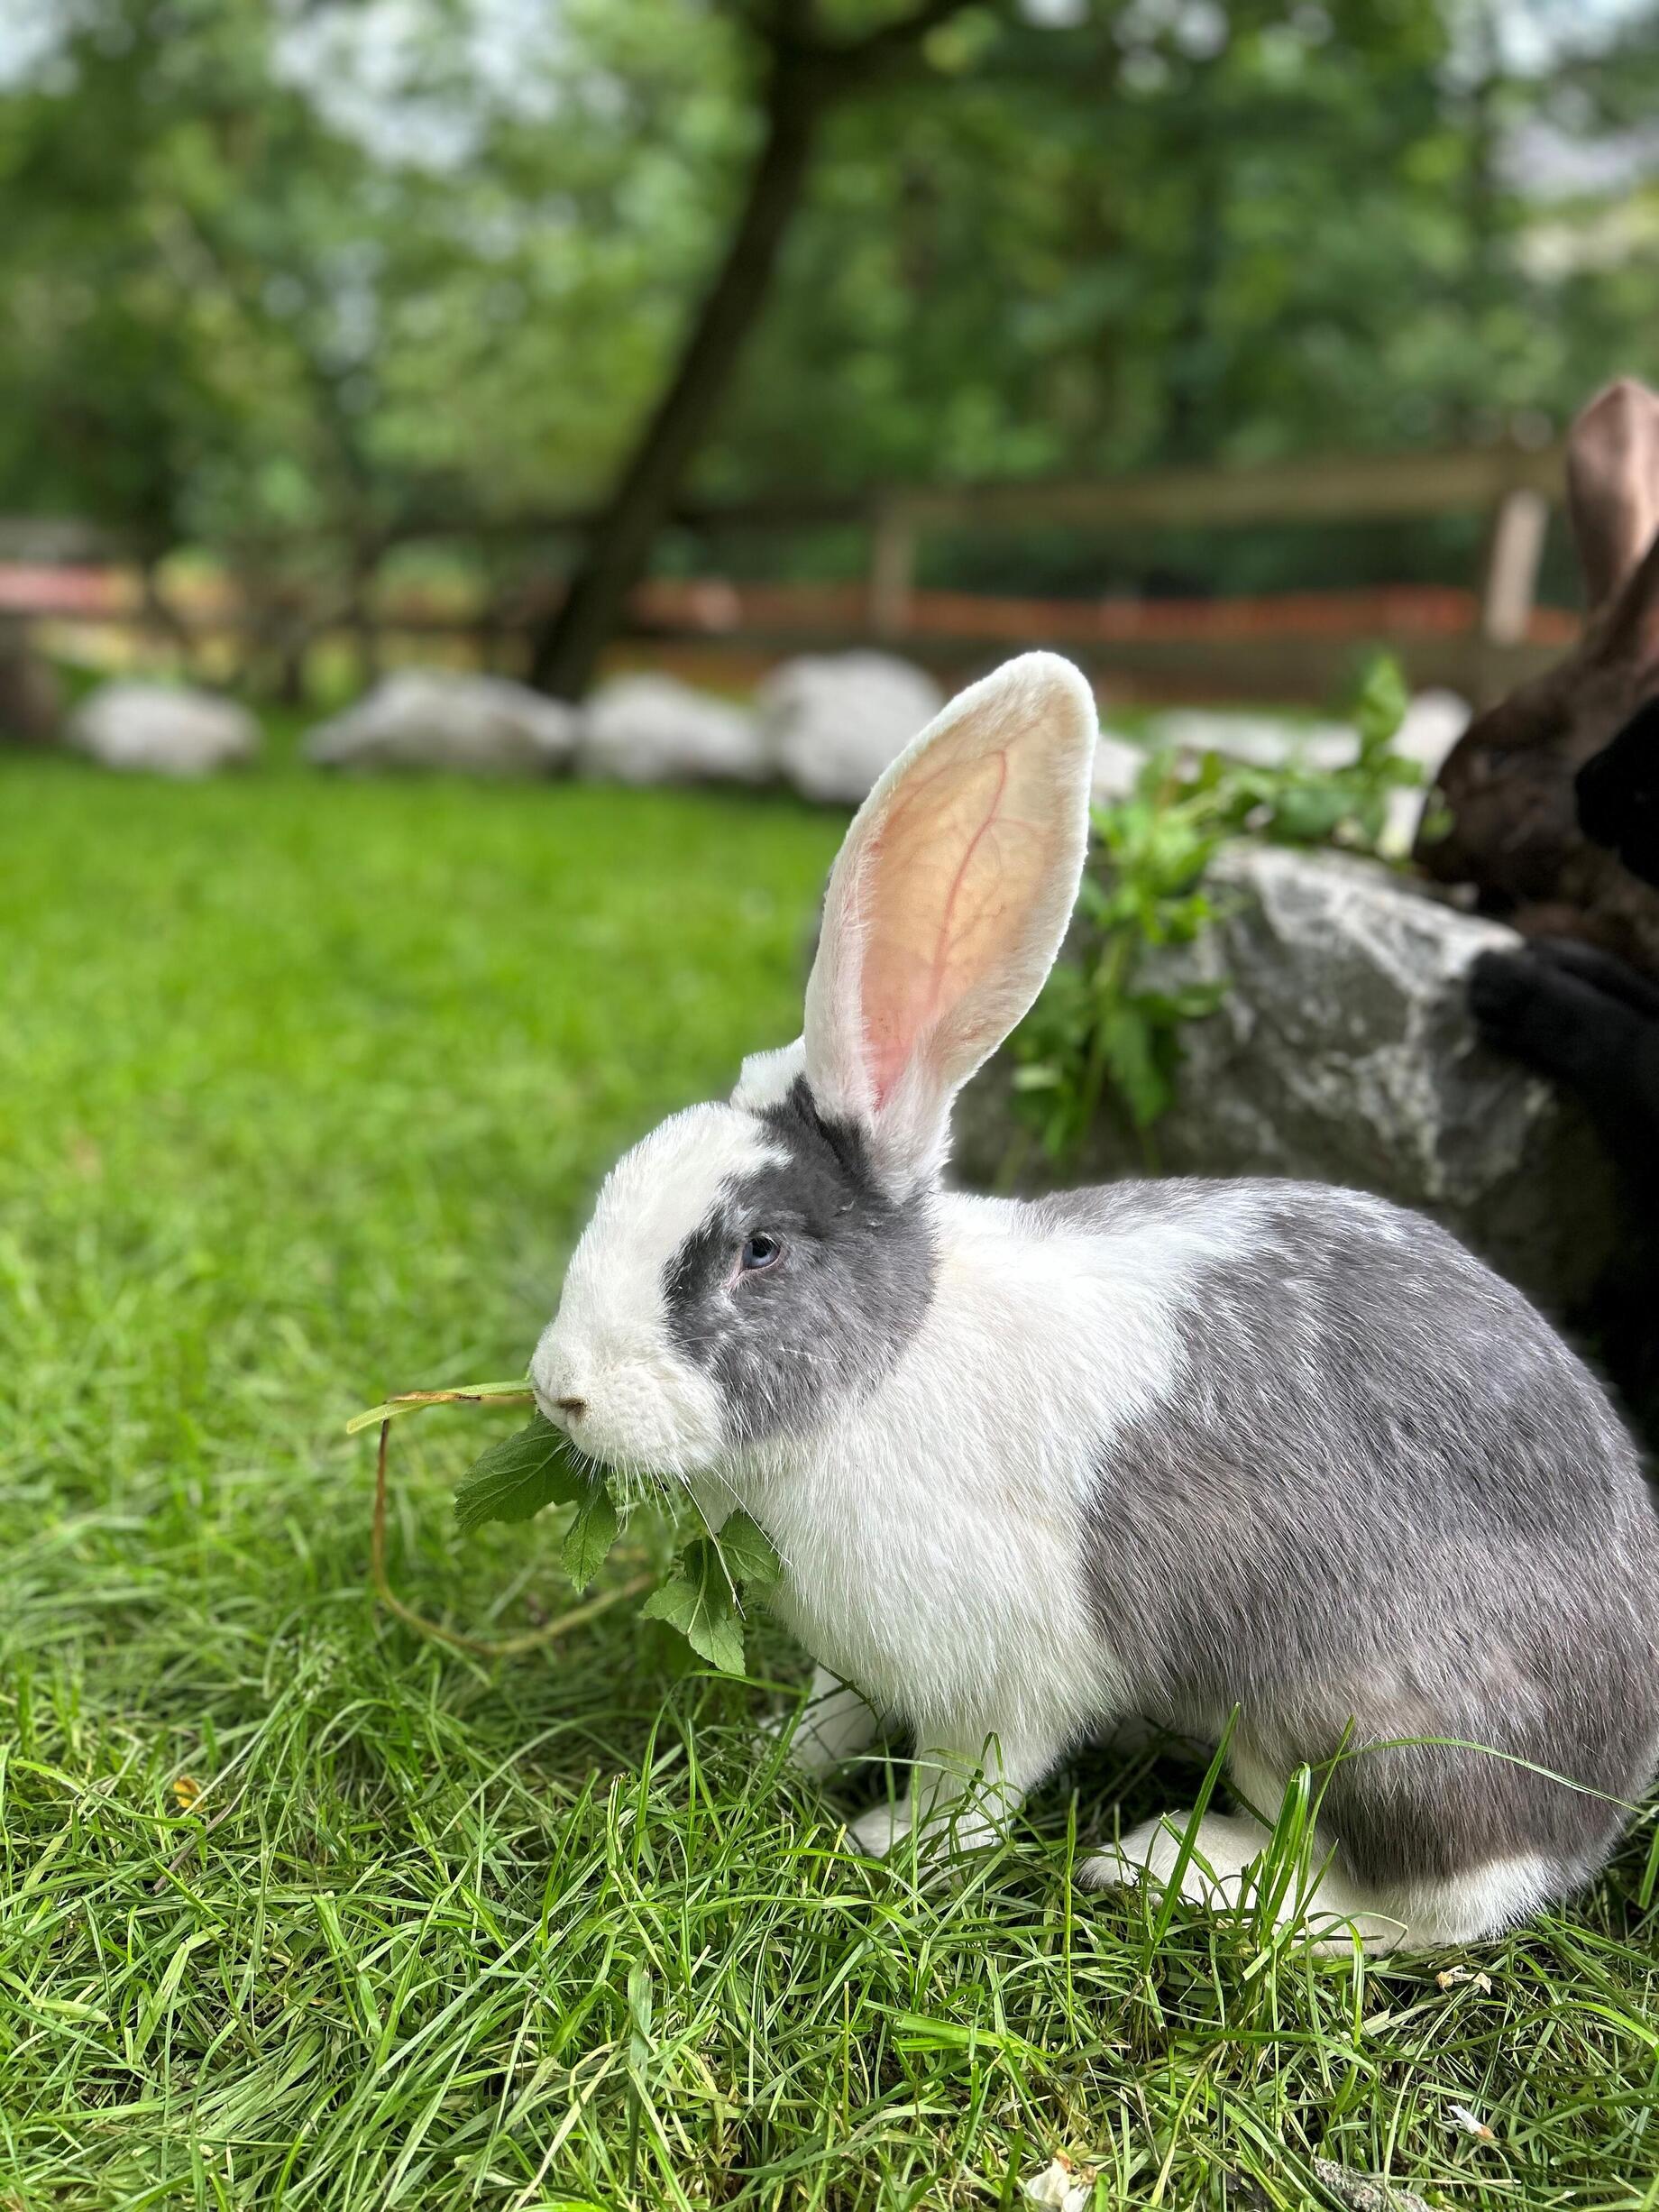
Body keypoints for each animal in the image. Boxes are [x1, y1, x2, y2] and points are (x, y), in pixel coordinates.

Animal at [533, 650, 1659, 1955]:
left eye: (757, 1250)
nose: (559, 1389)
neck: (885, 1370)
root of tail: (1596, 1802)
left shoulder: (1010, 1673)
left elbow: (973, 1782)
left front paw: (886, 1844)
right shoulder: (856, 1660)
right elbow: (835, 1713)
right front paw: (770, 1755)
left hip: (1349, 1721)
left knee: (1412, 1906)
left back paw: (1167, 1864)